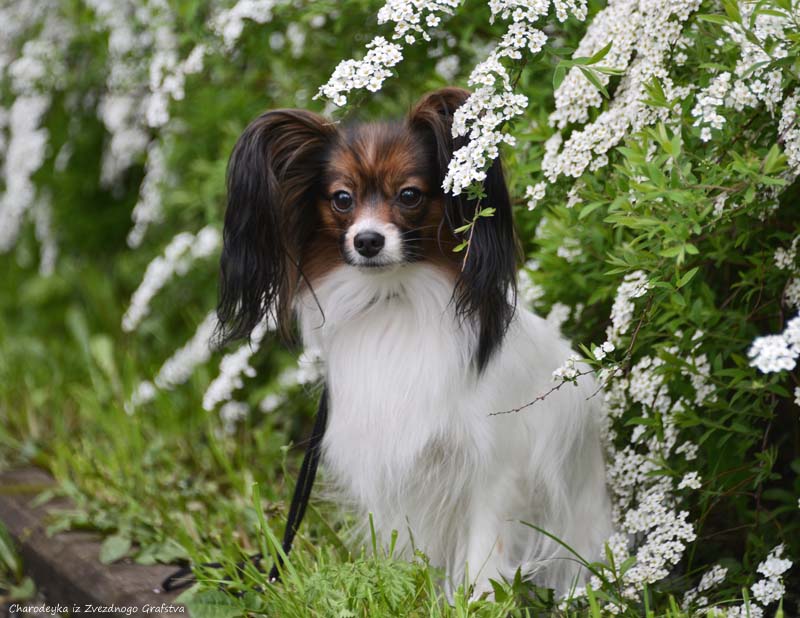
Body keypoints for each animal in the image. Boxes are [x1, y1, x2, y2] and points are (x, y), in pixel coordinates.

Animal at [216, 88, 608, 596]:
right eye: (342, 199)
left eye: (408, 195)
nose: (367, 240)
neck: (394, 299)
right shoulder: (393, 459)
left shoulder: (494, 466)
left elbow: (485, 551)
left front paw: (477, 600)